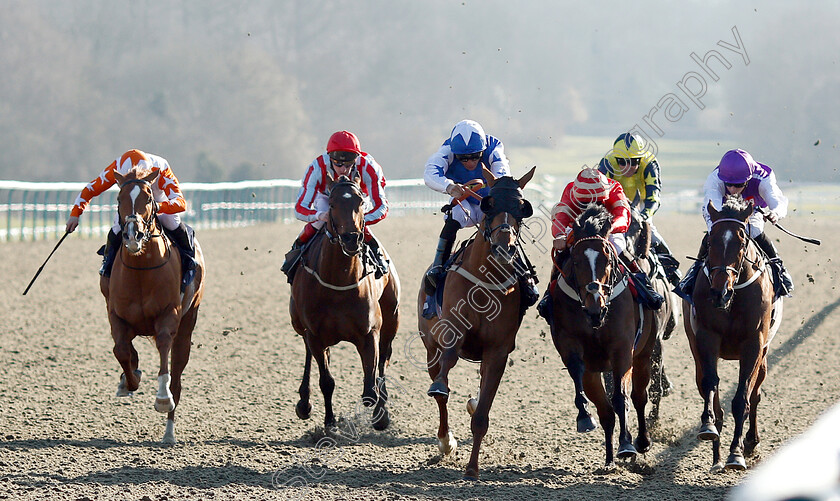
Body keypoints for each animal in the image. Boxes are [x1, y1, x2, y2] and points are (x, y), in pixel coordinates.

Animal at [103, 168, 205, 442]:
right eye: (119, 198)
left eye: (149, 198)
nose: (132, 235)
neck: (141, 270)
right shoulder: (116, 315)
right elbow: (121, 350)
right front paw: (129, 381)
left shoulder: (168, 316)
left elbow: (162, 348)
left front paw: (162, 398)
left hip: (187, 325)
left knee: (177, 376)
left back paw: (169, 433)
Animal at [288, 170, 400, 432]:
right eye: (332, 204)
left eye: (360, 202)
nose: (351, 239)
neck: (337, 283)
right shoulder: (315, 334)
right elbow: (326, 381)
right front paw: (329, 422)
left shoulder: (370, 332)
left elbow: (371, 388)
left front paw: (378, 414)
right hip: (299, 324)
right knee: (309, 355)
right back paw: (304, 403)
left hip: (391, 321)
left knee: (384, 362)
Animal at [420, 165, 540, 480]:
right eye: (489, 205)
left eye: (522, 208)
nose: (504, 248)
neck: (485, 282)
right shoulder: (452, 331)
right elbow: (447, 368)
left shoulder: (497, 351)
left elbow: (483, 414)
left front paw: (472, 469)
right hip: (429, 346)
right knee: (441, 394)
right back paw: (445, 440)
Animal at [548, 201, 660, 466]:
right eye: (576, 260)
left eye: (608, 258)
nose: (595, 306)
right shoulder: (572, 346)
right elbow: (579, 375)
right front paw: (583, 416)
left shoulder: (622, 349)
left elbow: (621, 397)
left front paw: (627, 444)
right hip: (596, 369)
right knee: (605, 411)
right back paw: (609, 458)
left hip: (644, 354)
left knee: (638, 397)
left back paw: (641, 441)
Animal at [684, 194, 780, 468]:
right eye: (710, 241)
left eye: (741, 241)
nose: (719, 292)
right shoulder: (707, 337)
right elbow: (710, 385)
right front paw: (708, 427)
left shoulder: (754, 344)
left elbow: (742, 399)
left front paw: (736, 453)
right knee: (708, 388)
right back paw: (716, 455)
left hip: (764, 356)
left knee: (755, 395)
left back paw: (750, 442)